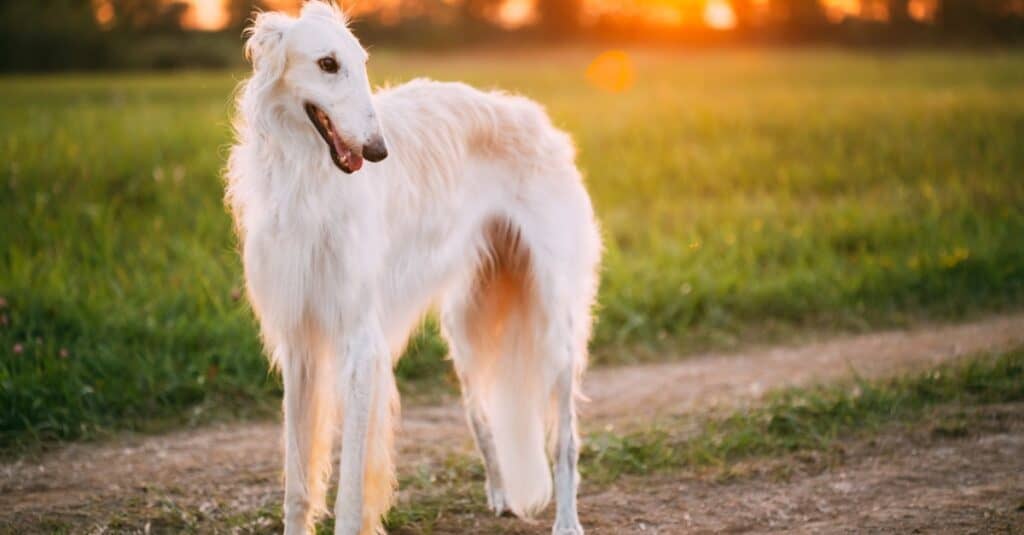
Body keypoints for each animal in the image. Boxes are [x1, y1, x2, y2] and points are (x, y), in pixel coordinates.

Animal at [224, 2, 598, 528]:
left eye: (361, 63)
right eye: (327, 64)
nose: (378, 151)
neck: (309, 180)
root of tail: (536, 120)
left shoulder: (360, 343)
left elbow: (351, 489)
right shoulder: (299, 342)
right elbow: (297, 486)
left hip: (554, 324)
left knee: (565, 442)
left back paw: (567, 520)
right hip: (465, 329)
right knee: (482, 418)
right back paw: (502, 494)